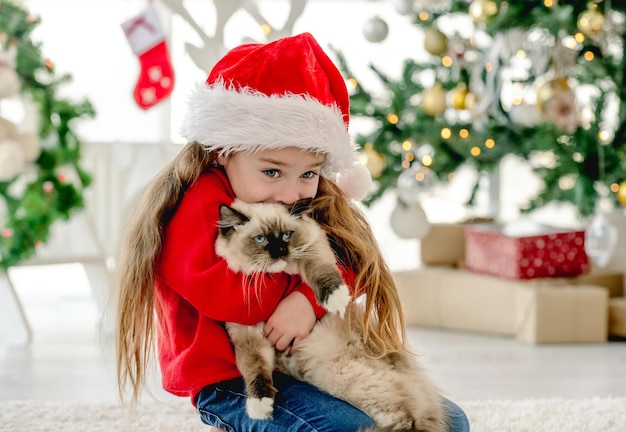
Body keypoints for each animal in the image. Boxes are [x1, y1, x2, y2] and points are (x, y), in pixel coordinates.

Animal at [214, 199, 444, 432]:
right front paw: (260, 406)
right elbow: (255, 370)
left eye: (287, 235)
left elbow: (320, 271)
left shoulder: (313, 246)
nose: (280, 250)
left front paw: (336, 298)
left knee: (407, 417)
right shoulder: (248, 336)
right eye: (260, 239)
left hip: (347, 378)